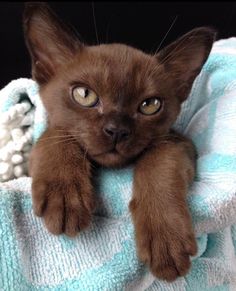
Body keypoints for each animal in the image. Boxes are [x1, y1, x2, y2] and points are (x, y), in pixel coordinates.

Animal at [23, 2, 216, 282]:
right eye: (84, 95)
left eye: (150, 105)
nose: (117, 130)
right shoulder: (51, 133)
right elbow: (55, 136)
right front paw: (64, 196)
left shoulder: (177, 141)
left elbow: (159, 162)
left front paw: (166, 239)